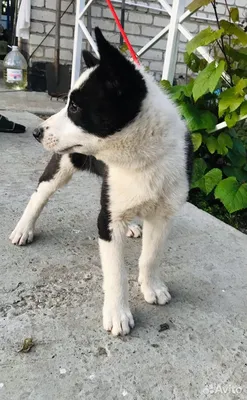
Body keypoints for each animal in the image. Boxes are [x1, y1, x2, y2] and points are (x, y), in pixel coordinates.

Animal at [9, 27, 192, 334]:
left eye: (74, 107)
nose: (36, 132)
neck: (138, 158)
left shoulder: (163, 214)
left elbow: (151, 255)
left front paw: (151, 286)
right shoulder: (106, 222)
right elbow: (116, 271)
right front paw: (118, 314)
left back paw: (132, 226)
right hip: (62, 164)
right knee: (40, 194)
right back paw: (23, 228)